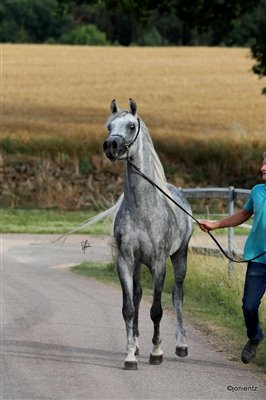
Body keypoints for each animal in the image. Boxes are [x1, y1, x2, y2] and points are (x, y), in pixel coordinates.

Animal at [103, 99, 192, 368]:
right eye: (109, 126)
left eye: (131, 126)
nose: (111, 146)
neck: (142, 209)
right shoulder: (125, 261)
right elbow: (129, 308)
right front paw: (130, 354)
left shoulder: (158, 263)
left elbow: (157, 310)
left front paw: (157, 352)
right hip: (138, 266)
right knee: (139, 295)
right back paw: (137, 344)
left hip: (180, 257)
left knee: (177, 296)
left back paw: (181, 345)